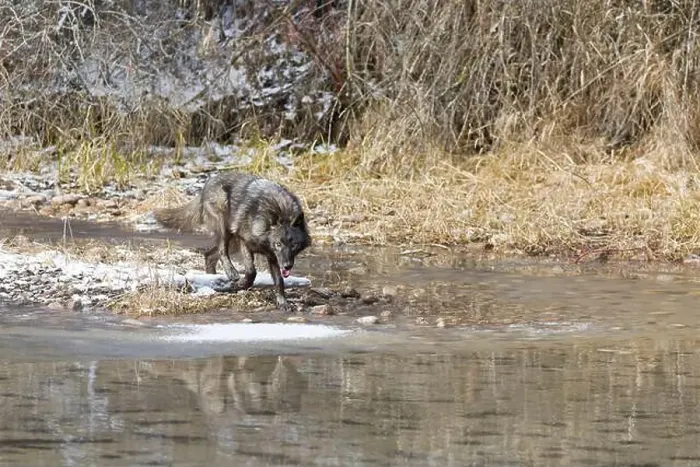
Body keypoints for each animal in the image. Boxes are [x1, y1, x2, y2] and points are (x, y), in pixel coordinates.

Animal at [153, 171, 311, 312]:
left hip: (233, 243)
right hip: (226, 230)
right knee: (222, 251)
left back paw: (214, 279)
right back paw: (231, 273)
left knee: (209, 255)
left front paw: (283, 303)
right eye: (278, 244)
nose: (287, 265)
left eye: (294, 245)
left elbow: (279, 281)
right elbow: (251, 271)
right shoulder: (245, 242)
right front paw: (242, 283)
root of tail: (207, 184)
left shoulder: (272, 256)